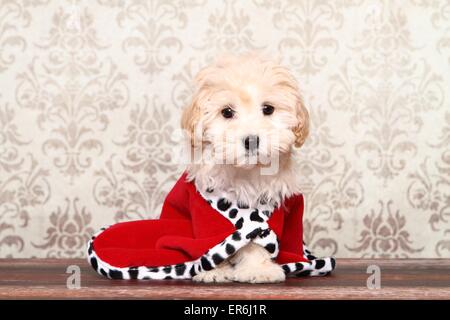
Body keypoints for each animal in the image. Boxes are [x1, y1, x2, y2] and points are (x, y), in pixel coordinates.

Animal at [179, 53, 310, 284]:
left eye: (268, 109)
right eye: (227, 112)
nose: (251, 140)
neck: (245, 171)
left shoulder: (269, 211)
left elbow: (258, 240)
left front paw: (258, 269)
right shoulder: (203, 209)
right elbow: (212, 241)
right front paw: (213, 270)